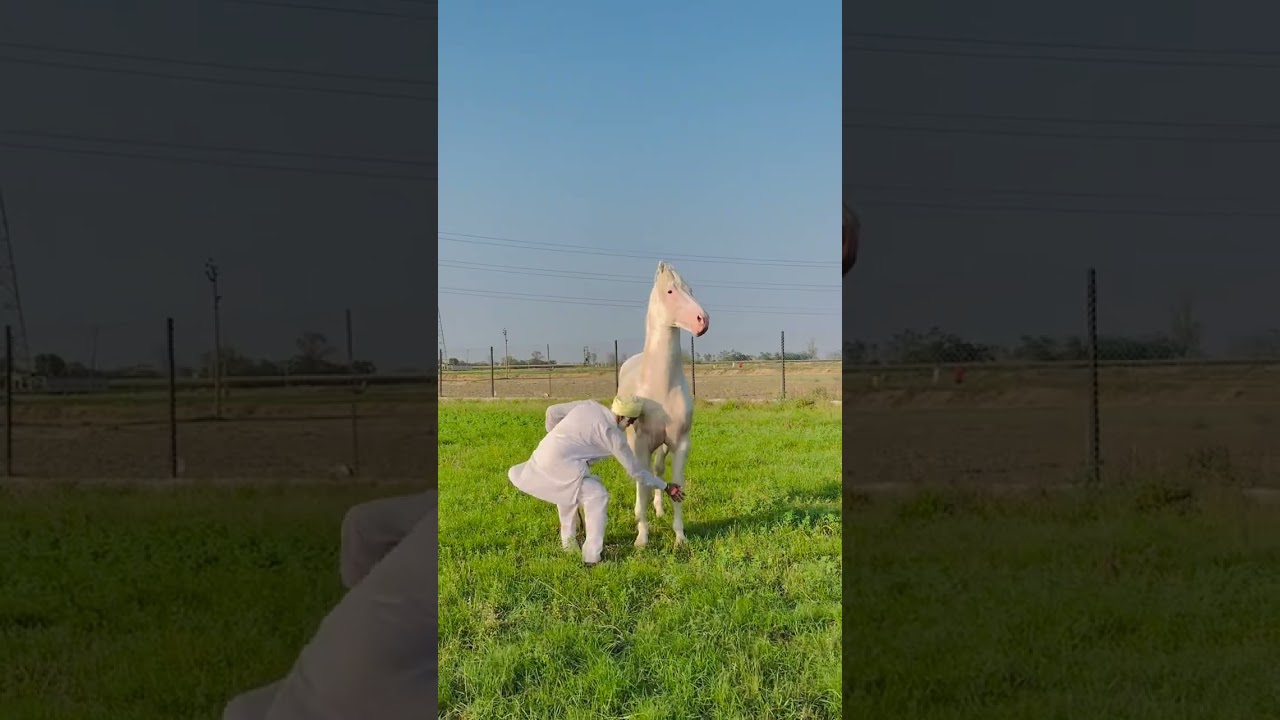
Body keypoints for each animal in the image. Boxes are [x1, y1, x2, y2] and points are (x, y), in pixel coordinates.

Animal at [616, 261, 709, 547]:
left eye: (691, 290)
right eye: (670, 291)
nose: (703, 321)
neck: (661, 388)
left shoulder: (679, 444)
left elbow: (676, 484)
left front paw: (680, 537)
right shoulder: (641, 444)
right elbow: (643, 486)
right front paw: (642, 538)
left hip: (663, 447)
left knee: (657, 471)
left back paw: (658, 510)